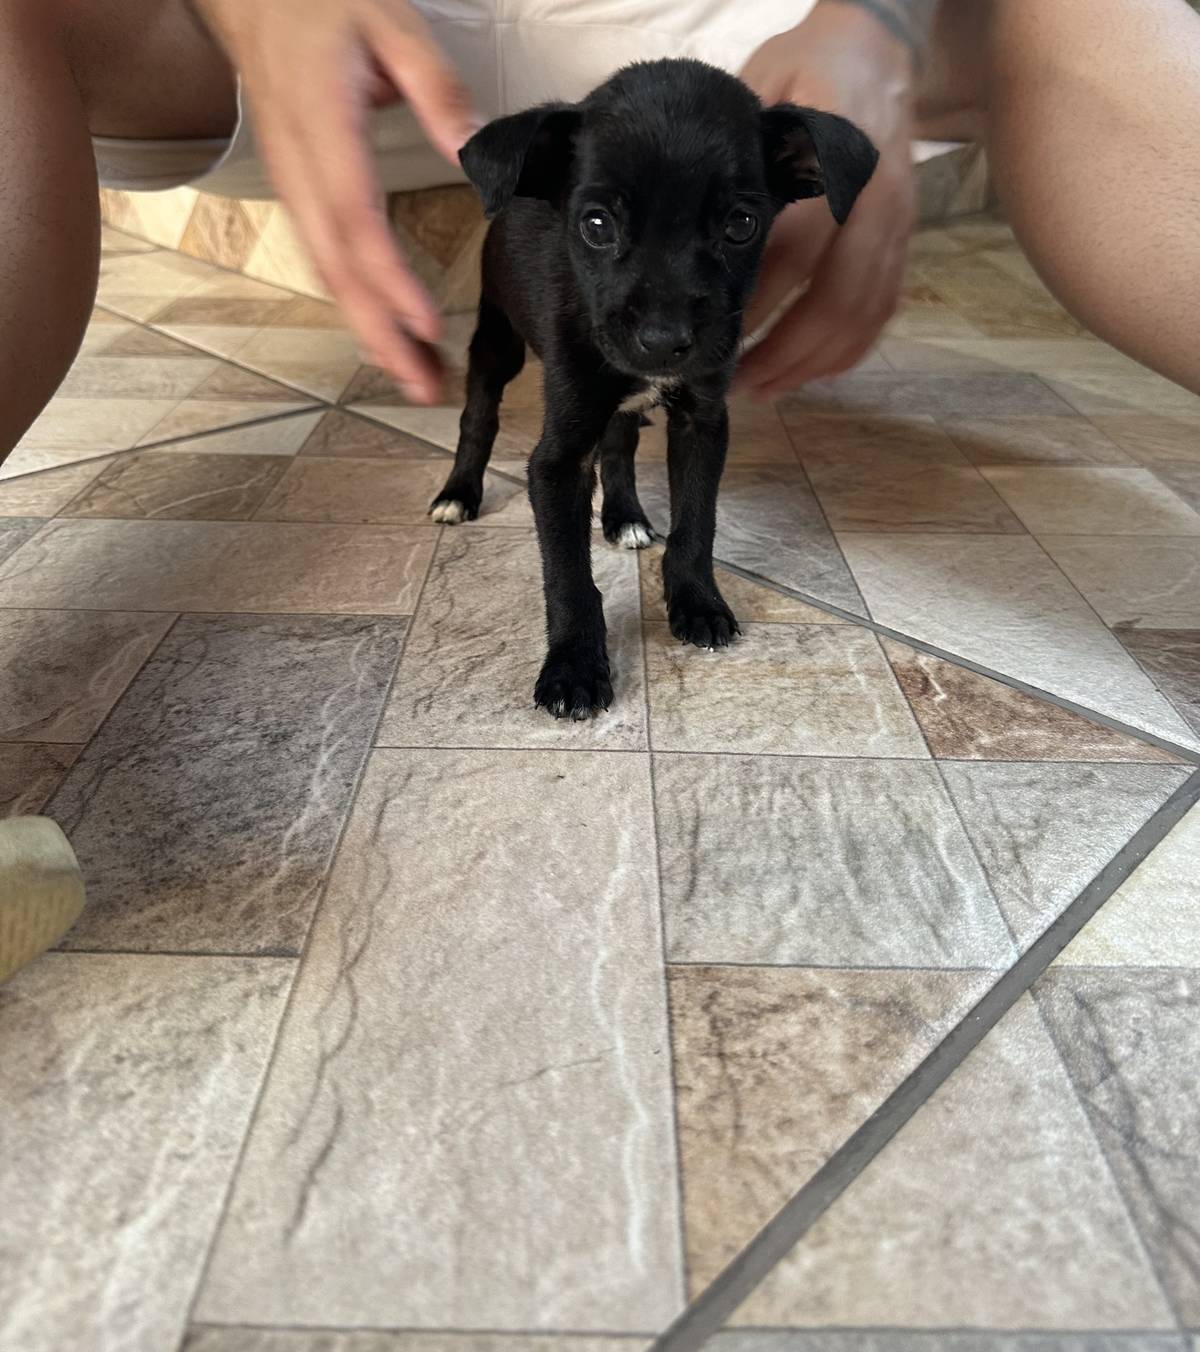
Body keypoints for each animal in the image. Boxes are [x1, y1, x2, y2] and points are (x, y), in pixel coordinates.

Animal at [430, 58, 878, 719]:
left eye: (741, 224)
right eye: (595, 225)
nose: (664, 342)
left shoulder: (702, 423)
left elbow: (696, 525)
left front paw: (697, 602)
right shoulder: (557, 459)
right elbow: (567, 574)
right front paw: (573, 667)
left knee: (619, 442)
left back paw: (625, 516)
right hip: (497, 340)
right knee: (478, 415)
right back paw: (459, 493)